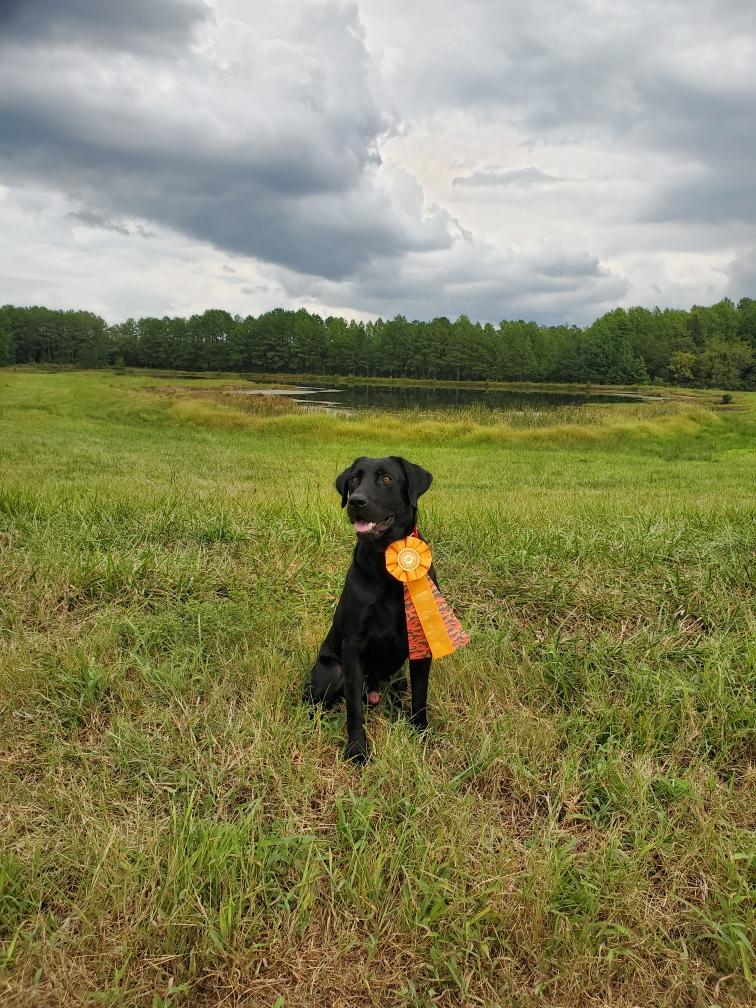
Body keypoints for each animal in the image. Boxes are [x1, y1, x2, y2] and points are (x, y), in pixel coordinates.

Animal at [306, 457, 437, 762]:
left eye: (386, 478)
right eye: (354, 479)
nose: (356, 501)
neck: (386, 564)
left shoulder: (421, 639)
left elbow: (420, 696)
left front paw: (421, 734)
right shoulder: (353, 645)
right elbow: (353, 708)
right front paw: (357, 750)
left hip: (397, 679)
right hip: (333, 671)